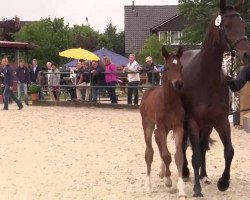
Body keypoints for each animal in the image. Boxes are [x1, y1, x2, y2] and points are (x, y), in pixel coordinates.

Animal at [140, 46, 187, 198]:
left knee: (158, 143)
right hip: (147, 124)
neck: (169, 102)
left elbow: (178, 156)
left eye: (181, 66)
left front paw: (181, 189)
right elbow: (166, 155)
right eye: (167, 67)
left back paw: (162, 173)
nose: (179, 83)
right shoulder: (161, 127)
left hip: (164, 129)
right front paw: (168, 181)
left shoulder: (178, 127)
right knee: (149, 152)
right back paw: (148, 186)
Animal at [180, 0, 250, 197]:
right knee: (183, 146)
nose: (246, 54)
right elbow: (195, 156)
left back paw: (204, 176)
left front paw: (223, 182)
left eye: (243, 25)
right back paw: (185, 172)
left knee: (203, 146)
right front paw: (197, 190)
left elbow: (229, 151)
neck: (205, 78)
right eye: (227, 26)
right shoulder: (193, 121)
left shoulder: (221, 120)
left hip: (208, 125)